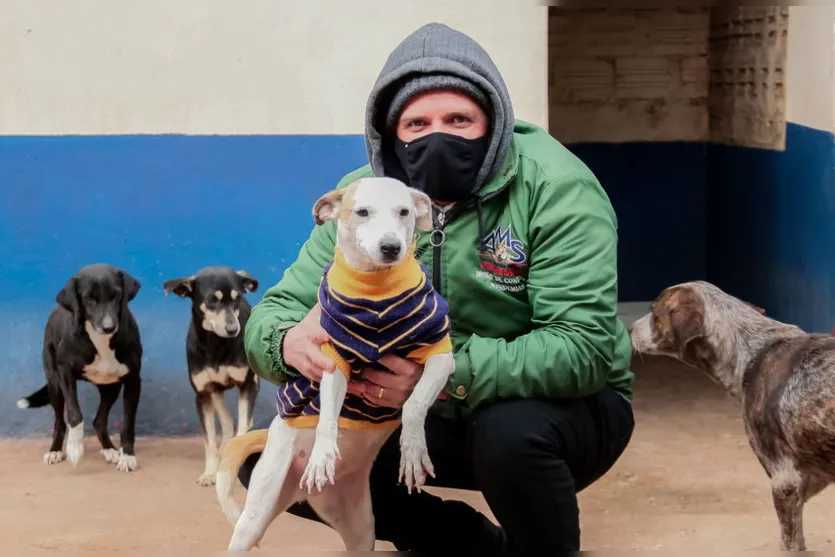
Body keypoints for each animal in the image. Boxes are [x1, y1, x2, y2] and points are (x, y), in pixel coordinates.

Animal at [17, 262, 145, 472]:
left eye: (116, 295)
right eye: (89, 299)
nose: (108, 327)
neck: (101, 340)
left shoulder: (133, 379)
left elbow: (128, 422)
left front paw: (127, 455)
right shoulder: (65, 372)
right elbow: (74, 414)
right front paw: (75, 447)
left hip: (111, 387)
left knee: (99, 421)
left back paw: (109, 449)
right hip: (54, 384)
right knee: (60, 422)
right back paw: (55, 450)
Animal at [164, 268, 262, 484]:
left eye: (237, 298)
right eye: (211, 300)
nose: (233, 330)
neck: (215, 344)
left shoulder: (247, 385)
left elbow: (243, 427)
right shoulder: (203, 394)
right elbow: (209, 441)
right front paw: (209, 473)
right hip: (216, 392)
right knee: (227, 423)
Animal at [212, 176, 454, 548]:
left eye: (404, 212)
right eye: (362, 211)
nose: (391, 247)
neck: (376, 290)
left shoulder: (440, 355)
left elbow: (414, 405)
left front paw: (413, 450)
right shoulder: (331, 362)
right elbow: (328, 417)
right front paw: (322, 456)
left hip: (361, 530)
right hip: (255, 514)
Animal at [632, 280, 835, 548]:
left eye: (655, 312)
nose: (629, 329)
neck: (752, 351)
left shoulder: (785, 481)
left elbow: (789, 544)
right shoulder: (812, 477)